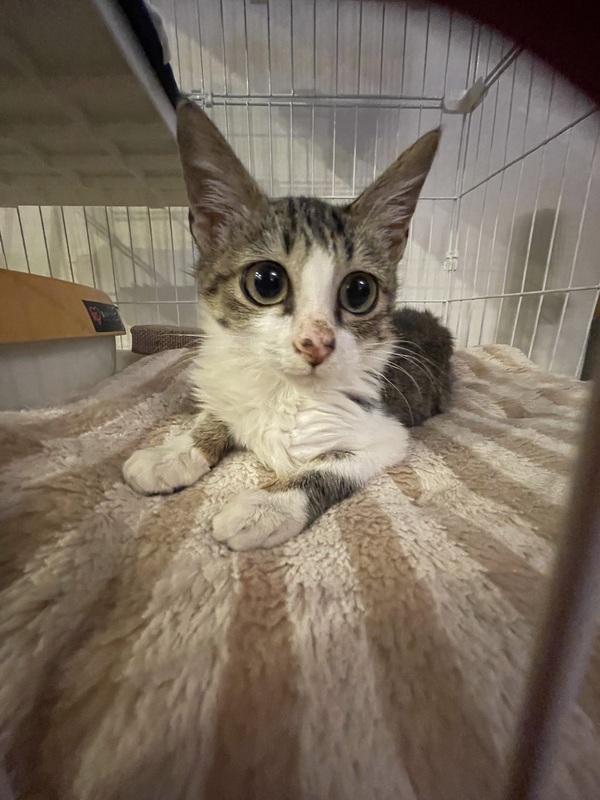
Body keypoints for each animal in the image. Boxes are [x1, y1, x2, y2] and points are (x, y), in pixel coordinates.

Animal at [123, 99, 453, 551]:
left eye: (359, 292)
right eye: (266, 282)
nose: (316, 342)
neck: (284, 390)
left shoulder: (386, 432)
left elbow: (331, 466)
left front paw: (266, 507)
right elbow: (219, 413)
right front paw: (172, 452)